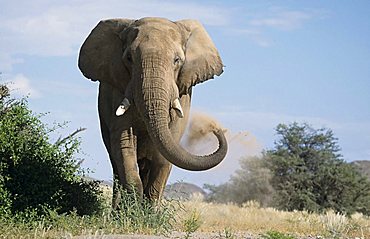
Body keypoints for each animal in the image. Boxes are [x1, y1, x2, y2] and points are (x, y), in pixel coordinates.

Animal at [78, 17, 228, 207]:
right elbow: (124, 142)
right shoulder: (118, 89)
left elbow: (166, 150)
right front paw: (133, 209)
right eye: (129, 58)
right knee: (117, 165)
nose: (214, 128)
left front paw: (148, 212)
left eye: (177, 60)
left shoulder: (183, 95)